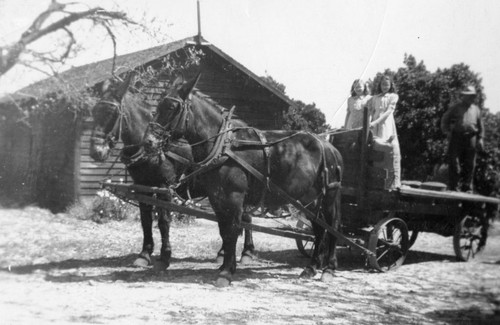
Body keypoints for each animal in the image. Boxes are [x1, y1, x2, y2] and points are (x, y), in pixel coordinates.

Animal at [88, 74, 256, 268]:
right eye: (94, 112)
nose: (96, 151)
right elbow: (146, 221)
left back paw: (246, 252)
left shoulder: (164, 188)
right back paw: (225, 253)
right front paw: (145, 254)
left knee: (244, 218)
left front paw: (165, 255)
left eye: (112, 113)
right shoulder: (142, 187)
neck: (153, 152)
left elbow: (163, 221)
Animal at [145, 74, 344, 286]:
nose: (148, 141)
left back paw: (329, 268)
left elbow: (232, 231)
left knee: (332, 227)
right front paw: (226, 266)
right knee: (319, 229)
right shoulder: (217, 198)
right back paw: (311, 267)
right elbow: (224, 231)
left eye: (171, 107)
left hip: (329, 195)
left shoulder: (234, 196)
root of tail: (329, 147)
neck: (224, 146)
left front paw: (226, 272)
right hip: (311, 199)